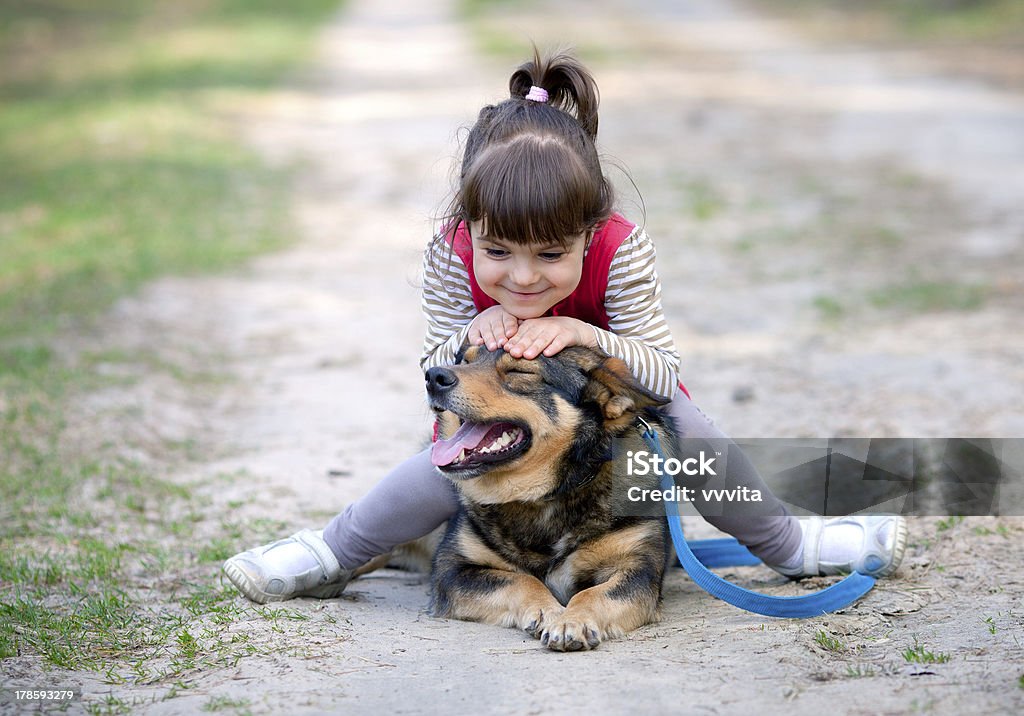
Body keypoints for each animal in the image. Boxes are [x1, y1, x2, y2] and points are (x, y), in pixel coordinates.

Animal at [419, 344, 675, 651]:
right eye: (464, 361)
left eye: (519, 371)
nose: (433, 376)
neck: (547, 495)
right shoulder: (451, 570)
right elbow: (519, 580)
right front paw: (549, 610)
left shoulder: (638, 570)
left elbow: (592, 594)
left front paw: (572, 620)